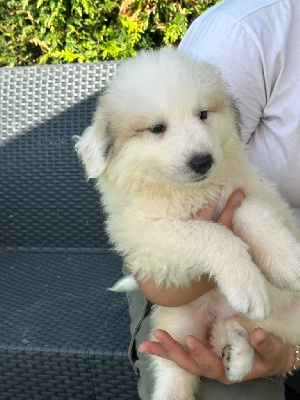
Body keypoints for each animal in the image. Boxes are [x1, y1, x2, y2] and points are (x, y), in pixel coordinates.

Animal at [76, 49, 300, 400]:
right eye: (157, 128)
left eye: (203, 114)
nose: (202, 161)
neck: (189, 193)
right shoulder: (149, 235)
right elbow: (212, 233)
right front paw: (247, 284)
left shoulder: (254, 190)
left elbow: (249, 212)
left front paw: (288, 264)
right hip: (175, 326)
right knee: (174, 372)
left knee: (240, 331)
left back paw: (237, 352)